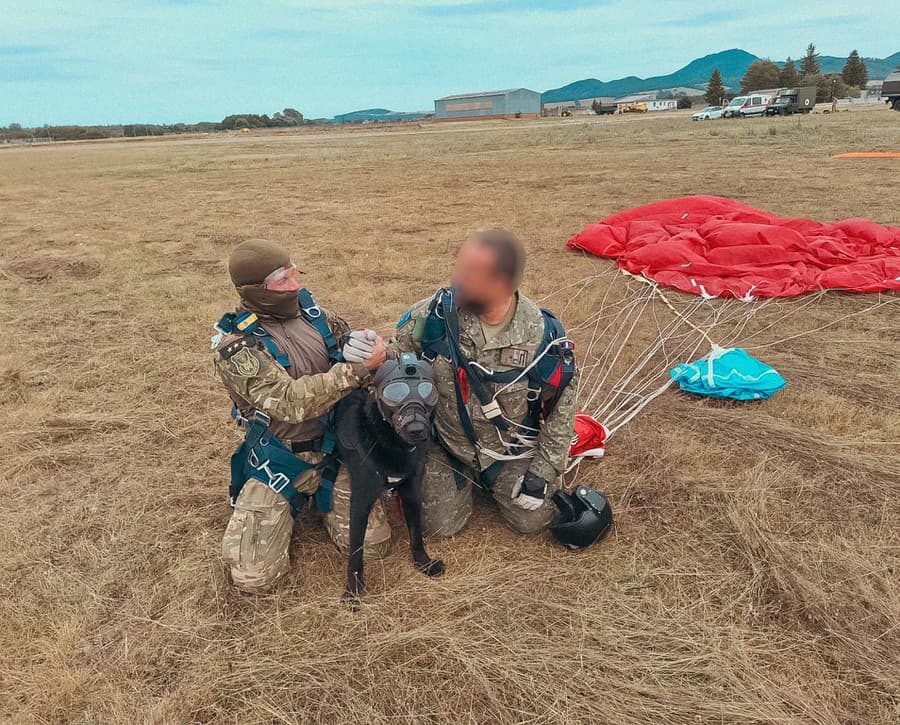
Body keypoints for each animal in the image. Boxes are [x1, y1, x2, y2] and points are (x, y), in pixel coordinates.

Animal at [332, 354, 444, 604]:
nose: (416, 428)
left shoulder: (412, 491)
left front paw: (423, 562)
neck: (392, 444)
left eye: (427, 392)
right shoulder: (360, 501)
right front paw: (353, 589)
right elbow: (356, 549)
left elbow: (416, 532)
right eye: (396, 393)